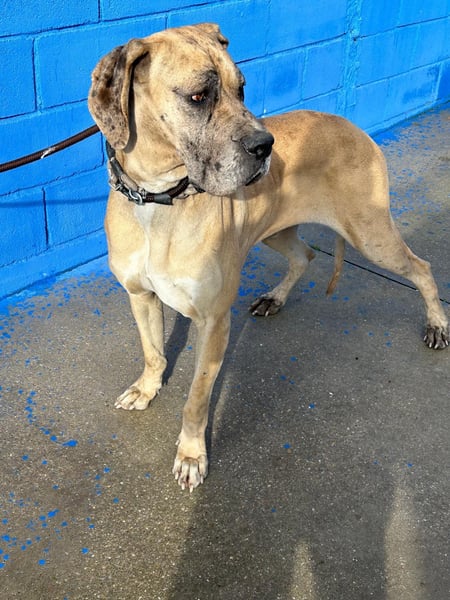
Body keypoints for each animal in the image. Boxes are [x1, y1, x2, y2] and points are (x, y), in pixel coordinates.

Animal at [88, 23, 448, 491]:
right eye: (198, 96)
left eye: (241, 89)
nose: (265, 147)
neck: (158, 198)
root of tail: (357, 128)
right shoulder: (140, 296)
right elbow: (153, 352)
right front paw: (148, 388)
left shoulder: (213, 323)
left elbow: (196, 399)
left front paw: (191, 454)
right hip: (276, 231)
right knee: (305, 254)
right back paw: (275, 298)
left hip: (371, 235)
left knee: (421, 267)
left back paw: (437, 324)